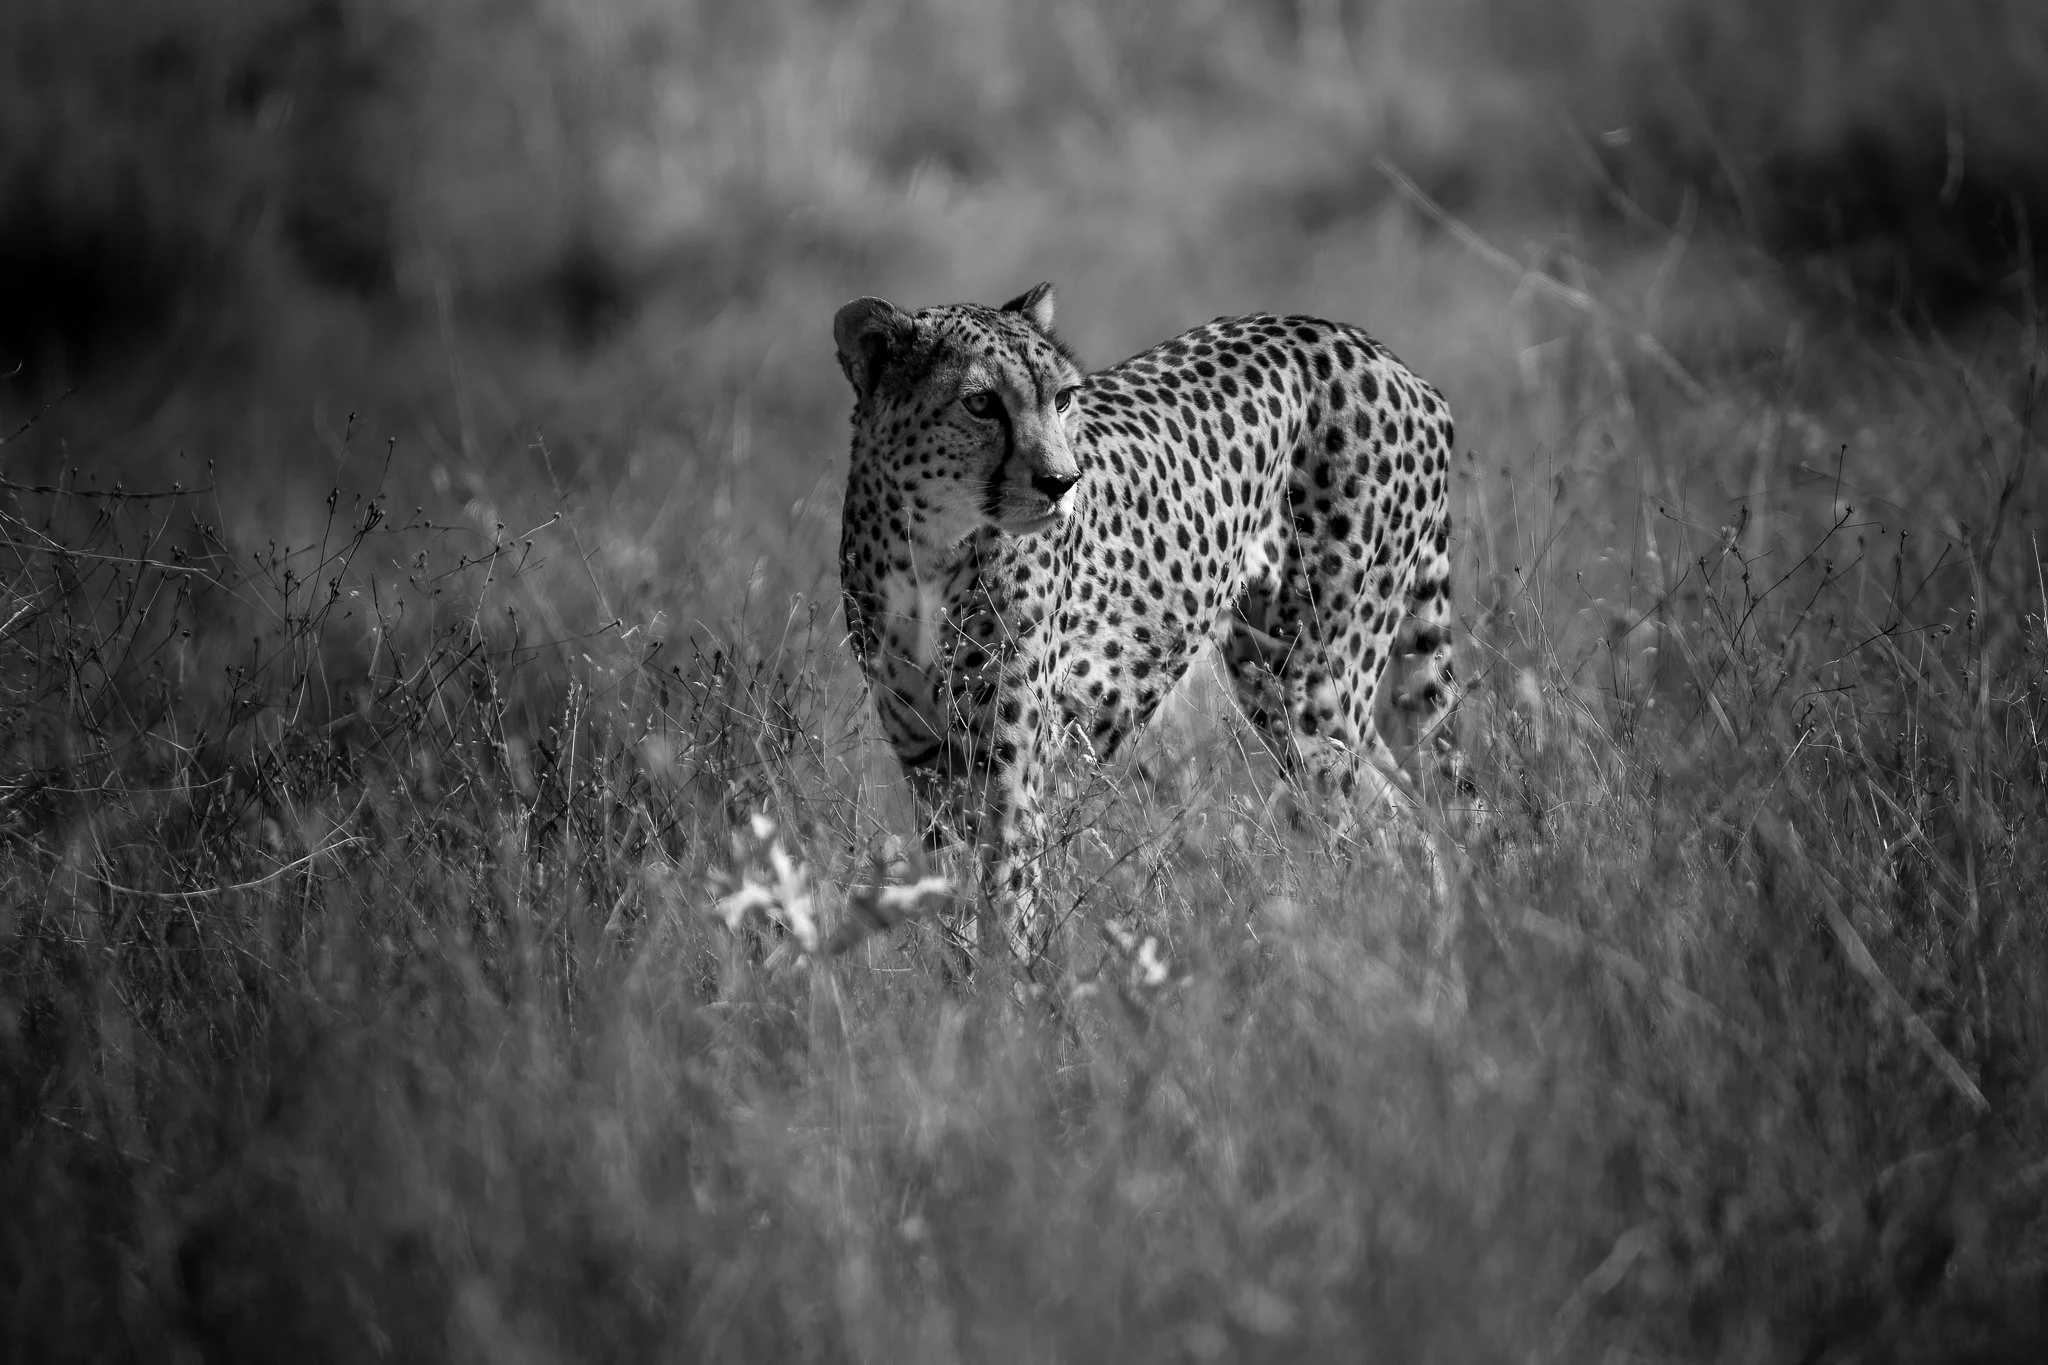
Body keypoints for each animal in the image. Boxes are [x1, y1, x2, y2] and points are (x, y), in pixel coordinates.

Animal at [833, 282, 1461, 967]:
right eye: (979, 403)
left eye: (1062, 398)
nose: (1061, 482)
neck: (928, 545)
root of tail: (1367, 347)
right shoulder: (929, 765)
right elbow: (954, 904)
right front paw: (964, 985)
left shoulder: (1007, 769)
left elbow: (1007, 895)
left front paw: (1007, 988)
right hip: (1282, 676)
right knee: (1397, 807)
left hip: (1310, 684)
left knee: (1382, 811)